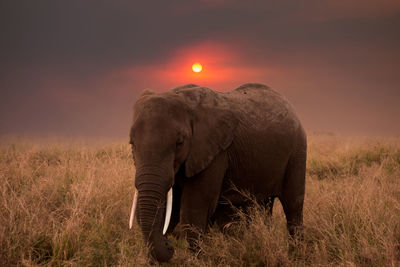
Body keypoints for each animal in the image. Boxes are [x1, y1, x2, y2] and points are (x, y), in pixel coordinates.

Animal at [128, 82, 306, 262]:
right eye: (132, 144)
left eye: (179, 143)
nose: (170, 245)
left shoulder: (215, 152)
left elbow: (194, 207)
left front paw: (194, 261)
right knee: (260, 208)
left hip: (297, 150)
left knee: (293, 205)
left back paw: (296, 255)